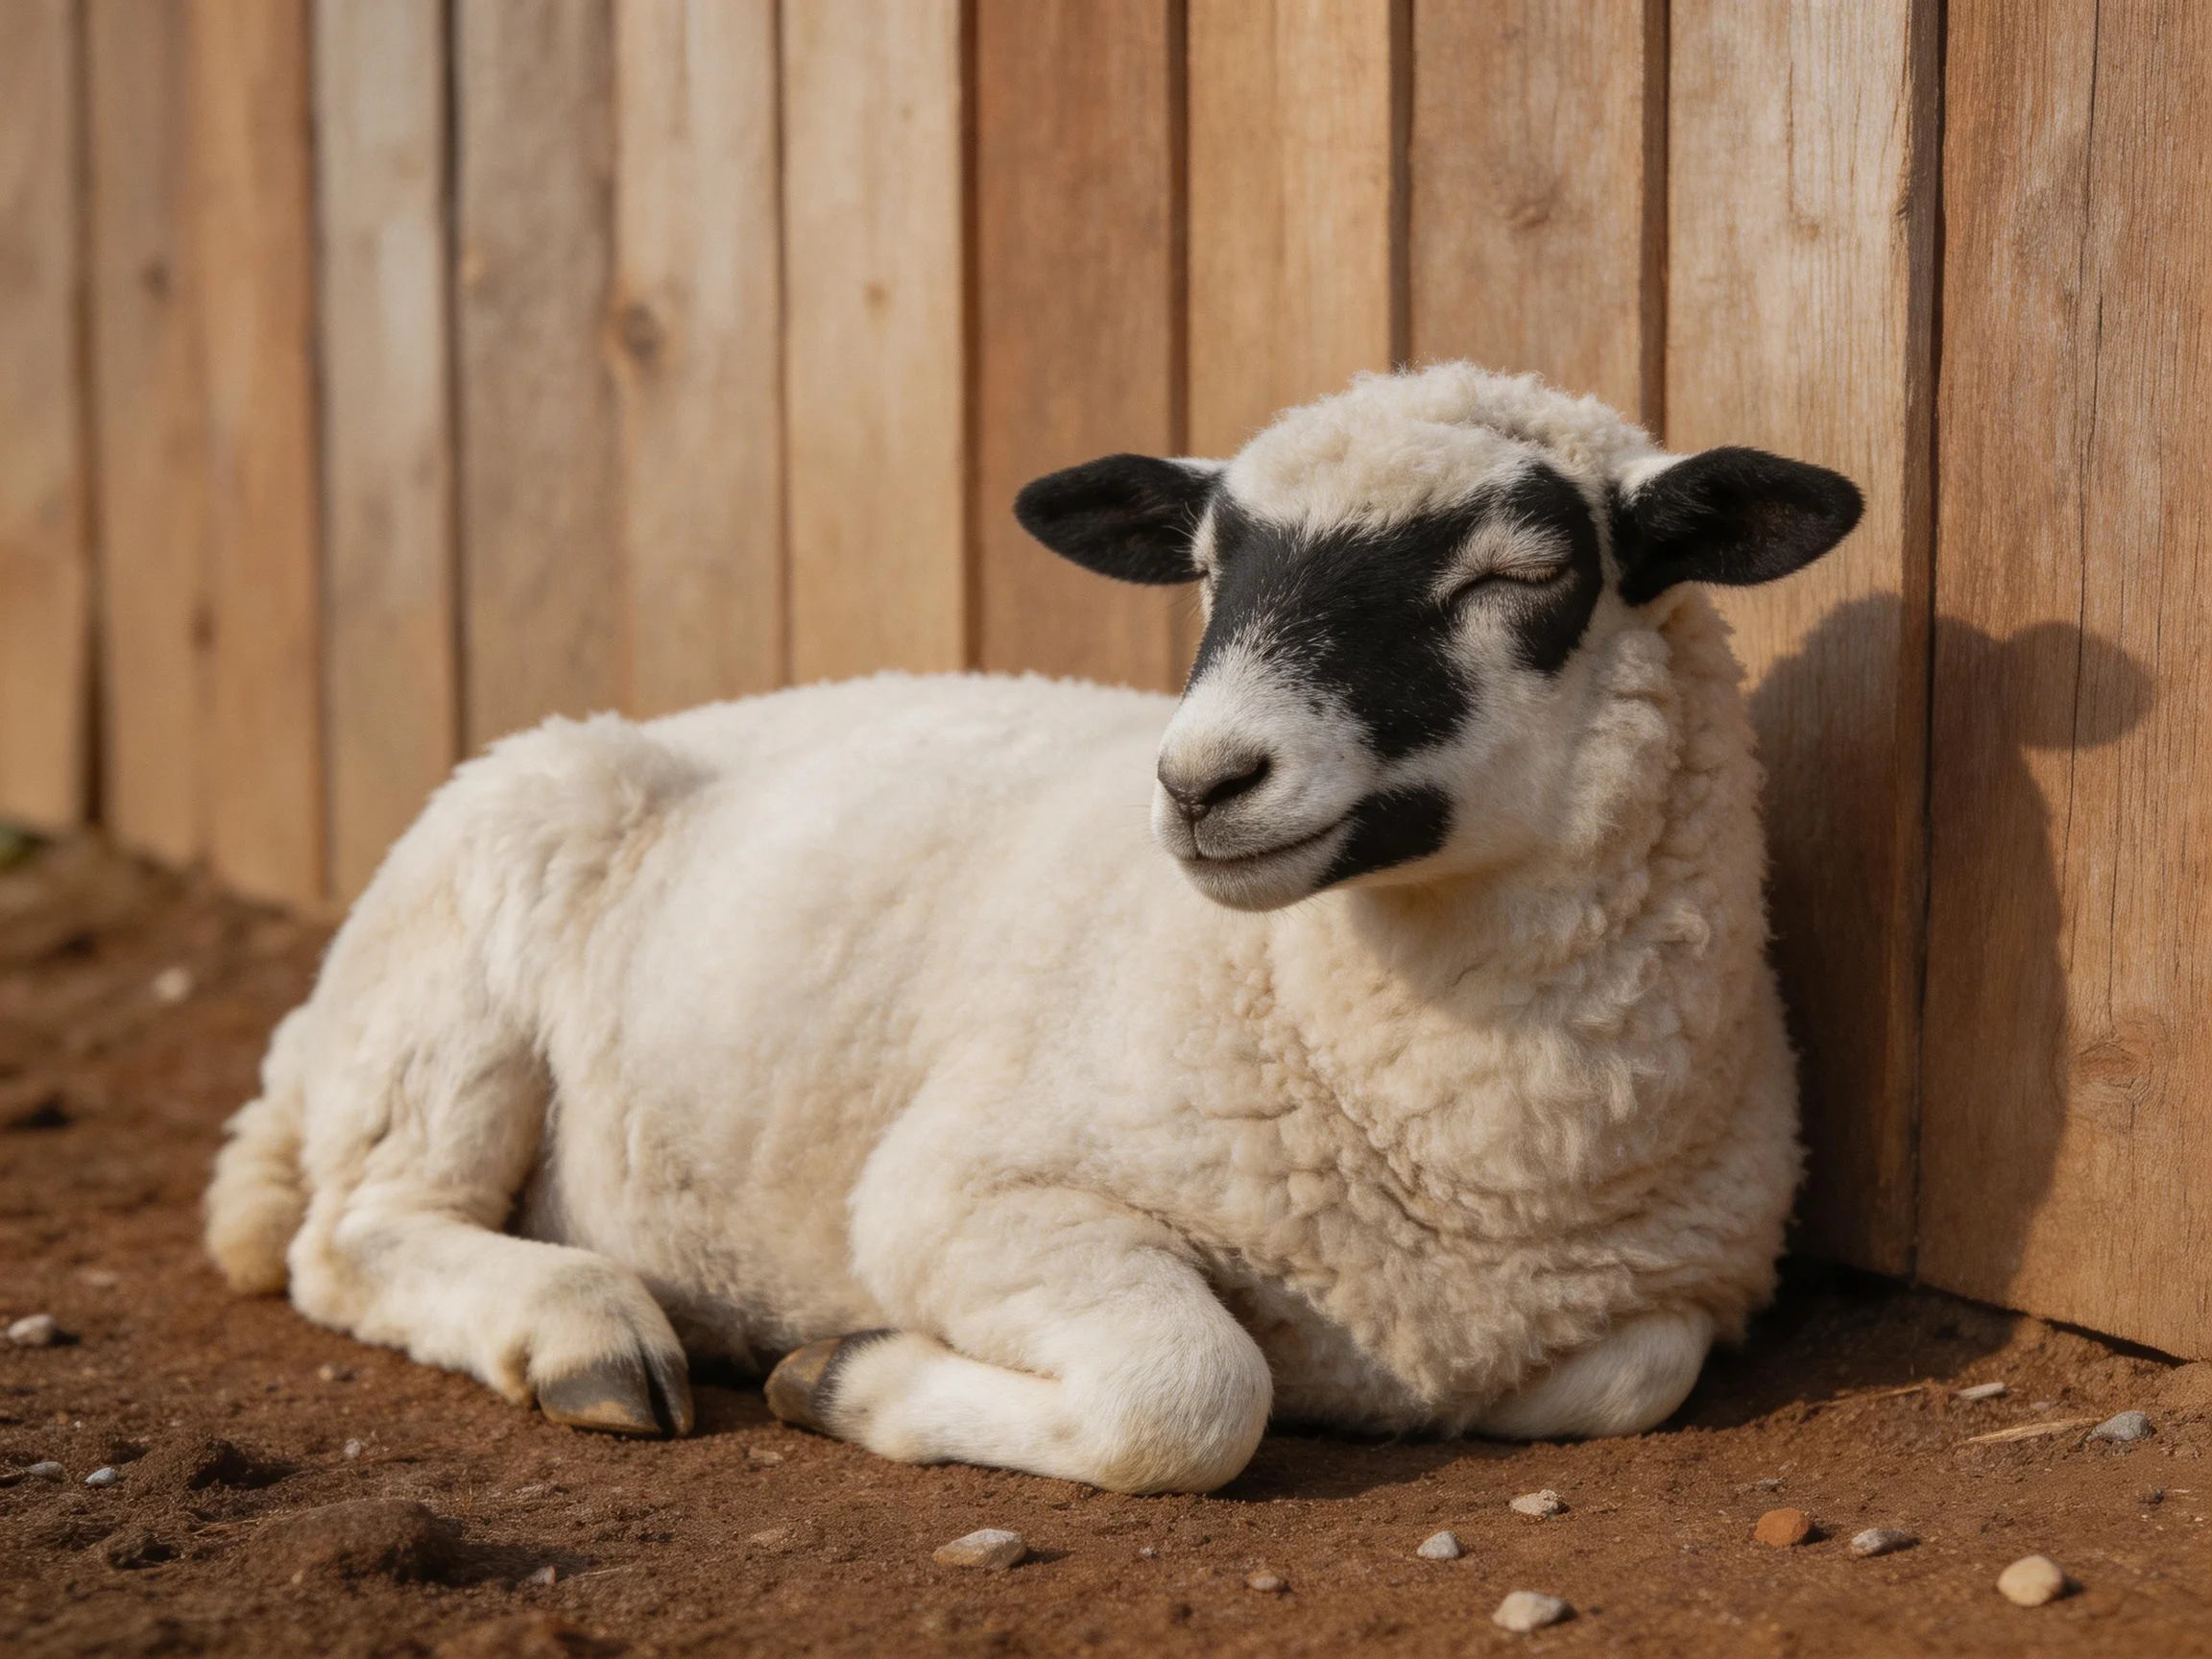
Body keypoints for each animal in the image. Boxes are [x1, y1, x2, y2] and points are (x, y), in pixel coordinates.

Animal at [204, 363, 1861, 1494]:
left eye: (1521, 575)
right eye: (1208, 569)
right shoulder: (960, 1193)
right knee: (354, 1237)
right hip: (465, 958)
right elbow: (1191, 1397)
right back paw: (585, 1333)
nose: (1202, 783)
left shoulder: (1679, 1293)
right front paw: (846, 1376)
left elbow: (1625, 1382)